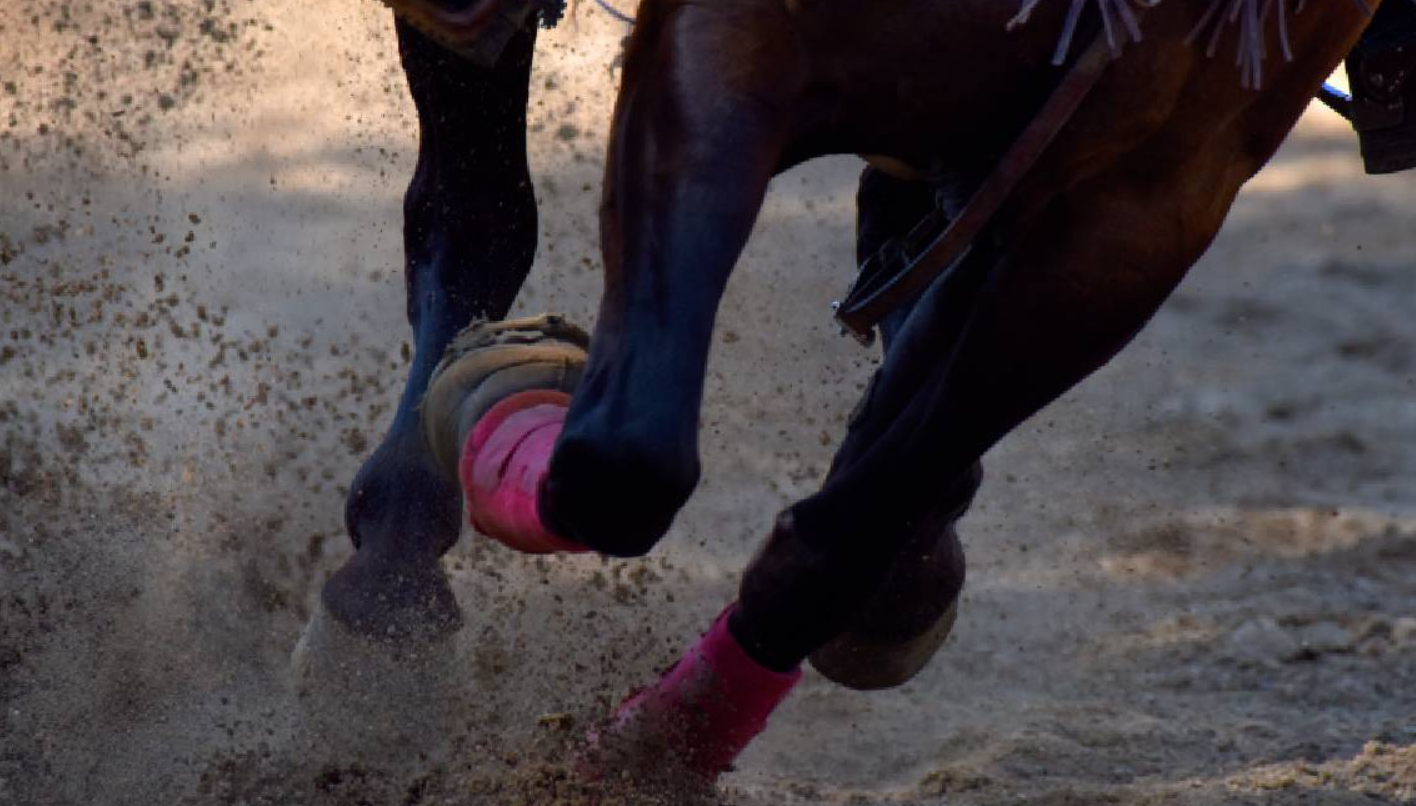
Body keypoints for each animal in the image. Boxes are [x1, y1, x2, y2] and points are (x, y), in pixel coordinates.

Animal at [318, 0, 1382, 781]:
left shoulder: (1148, 199)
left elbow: (854, 520)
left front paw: (652, 759)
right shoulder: (730, 43)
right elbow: (624, 459)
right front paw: (505, 398)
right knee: (473, 206)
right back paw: (392, 589)